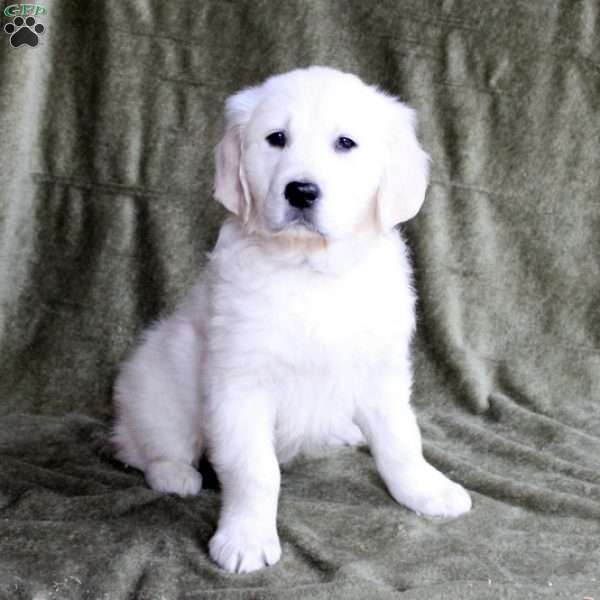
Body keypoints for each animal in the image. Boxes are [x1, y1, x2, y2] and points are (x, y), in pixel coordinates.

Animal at [111, 64, 468, 572]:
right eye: (275, 139)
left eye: (345, 143)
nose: (300, 191)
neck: (310, 269)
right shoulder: (239, 383)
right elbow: (255, 470)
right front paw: (245, 539)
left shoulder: (381, 371)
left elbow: (402, 440)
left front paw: (426, 491)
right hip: (158, 391)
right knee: (143, 446)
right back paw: (174, 475)